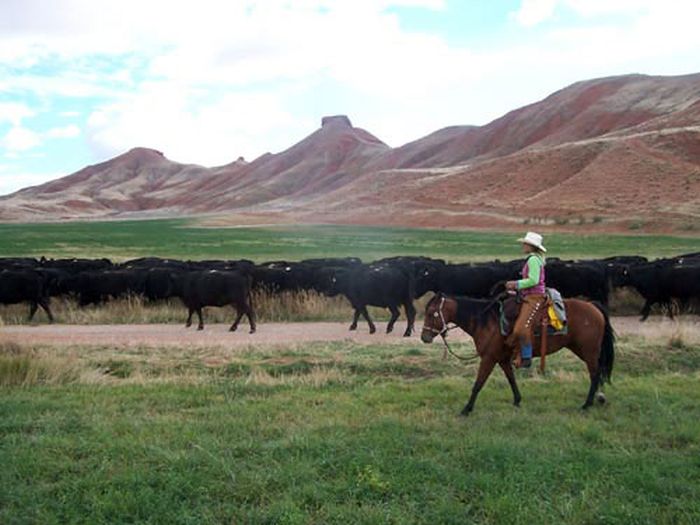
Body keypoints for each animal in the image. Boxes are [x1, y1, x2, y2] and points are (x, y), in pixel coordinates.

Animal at [422, 292, 612, 416]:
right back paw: (599, 398)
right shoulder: (502, 359)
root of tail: (593, 306)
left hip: (589, 351)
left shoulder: (489, 358)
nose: (424, 337)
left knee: (595, 374)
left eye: (432, 313)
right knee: (598, 372)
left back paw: (587, 404)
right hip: (581, 349)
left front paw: (466, 409)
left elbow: (478, 384)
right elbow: (511, 379)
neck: (487, 322)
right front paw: (517, 400)